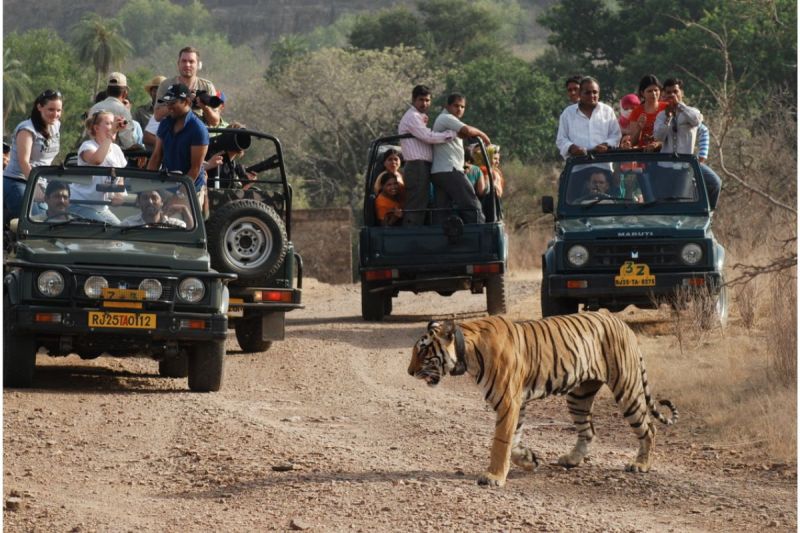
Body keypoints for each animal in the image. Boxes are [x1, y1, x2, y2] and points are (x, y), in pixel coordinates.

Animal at [407, 311, 677, 487]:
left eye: (423, 350)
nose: (409, 372)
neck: (467, 353)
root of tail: (623, 323)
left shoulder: (508, 401)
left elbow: (500, 442)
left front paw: (494, 477)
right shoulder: (517, 403)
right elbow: (514, 441)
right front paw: (529, 460)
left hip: (626, 387)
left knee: (649, 428)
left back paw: (640, 465)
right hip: (579, 395)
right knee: (588, 430)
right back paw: (572, 459)